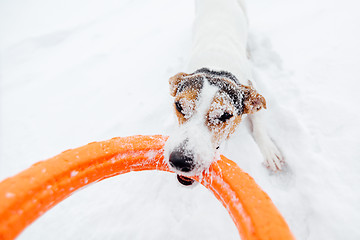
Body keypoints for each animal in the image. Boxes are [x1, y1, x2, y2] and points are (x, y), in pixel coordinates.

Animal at [164, 0, 284, 186]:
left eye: (225, 115)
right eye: (179, 106)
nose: (180, 160)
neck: (216, 67)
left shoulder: (251, 85)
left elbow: (259, 123)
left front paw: (269, 150)